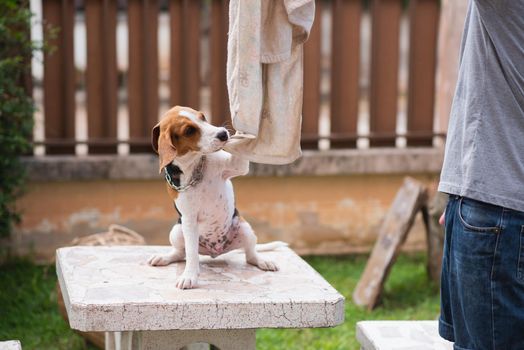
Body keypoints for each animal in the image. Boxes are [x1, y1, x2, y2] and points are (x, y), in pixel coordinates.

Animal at [148, 105, 278, 288]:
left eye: (203, 117)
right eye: (189, 130)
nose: (223, 133)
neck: (195, 166)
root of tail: (216, 251)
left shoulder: (236, 165)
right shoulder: (189, 219)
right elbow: (191, 254)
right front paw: (189, 276)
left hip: (245, 228)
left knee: (251, 255)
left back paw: (263, 261)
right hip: (177, 230)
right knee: (181, 253)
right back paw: (165, 257)